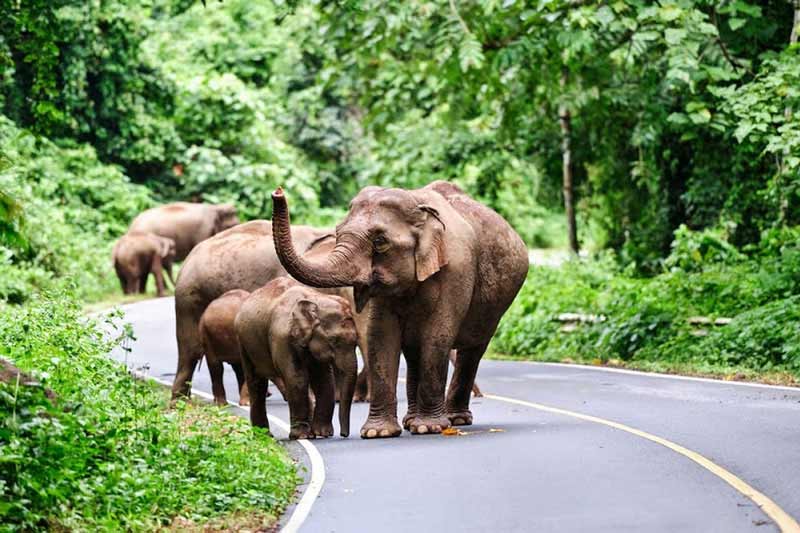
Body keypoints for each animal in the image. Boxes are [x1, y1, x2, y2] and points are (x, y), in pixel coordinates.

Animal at [236, 276, 358, 438]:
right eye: (333, 340)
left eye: (356, 342)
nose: (344, 434)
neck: (315, 299)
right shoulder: (281, 337)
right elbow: (296, 378)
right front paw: (301, 436)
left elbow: (323, 379)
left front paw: (322, 433)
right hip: (244, 343)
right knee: (257, 384)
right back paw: (264, 435)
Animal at [272, 179, 528, 436]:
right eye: (337, 232)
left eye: (380, 242)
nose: (278, 191)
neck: (418, 207)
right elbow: (380, 336)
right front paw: (378, 433)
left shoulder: (457, 271)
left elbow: (437, 337)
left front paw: (428, 428)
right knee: (415, 351)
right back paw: (411, 421)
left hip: (495, 307)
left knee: (473, 349)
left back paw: (454, 420)